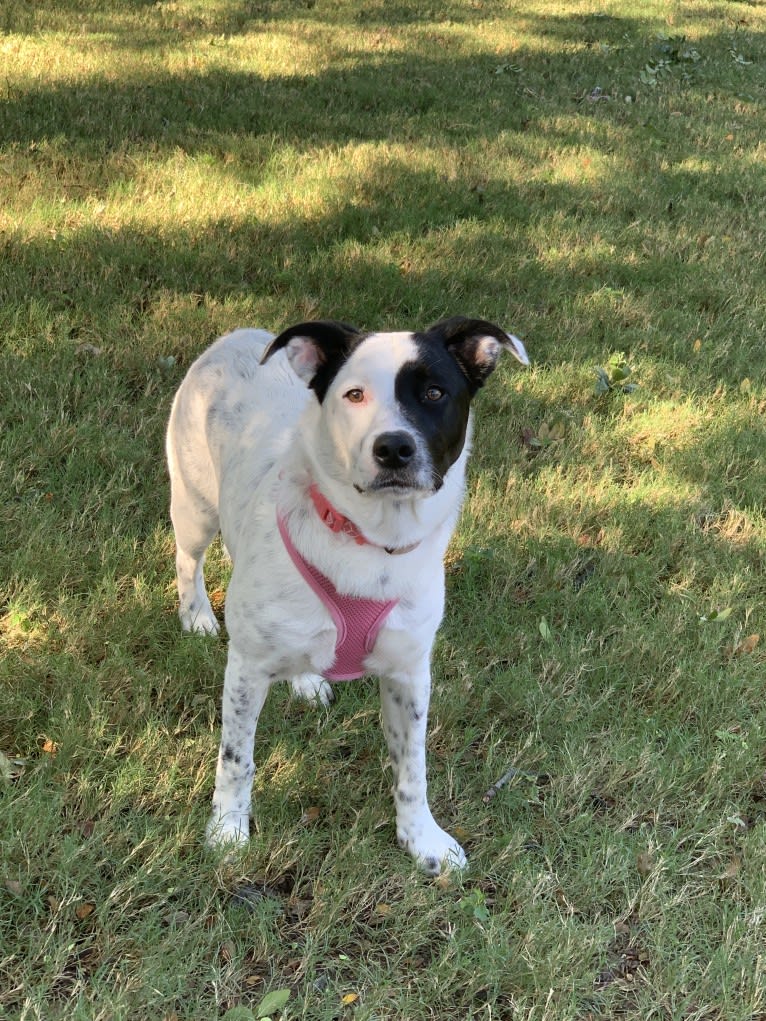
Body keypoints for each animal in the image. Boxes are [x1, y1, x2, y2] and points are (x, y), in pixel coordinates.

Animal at [166, 314, 527, 873]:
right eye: (354, 394)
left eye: (434, 392)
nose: (393, 447)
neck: (374, 544)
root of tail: (239, 334)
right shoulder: (246, 667)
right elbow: (236, 760)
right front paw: (227, 830)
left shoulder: (409, 675)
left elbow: (413, 769)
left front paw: (422, 839)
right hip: (195, 504)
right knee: (189, 559)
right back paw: (198, 615)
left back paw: (307, 680)